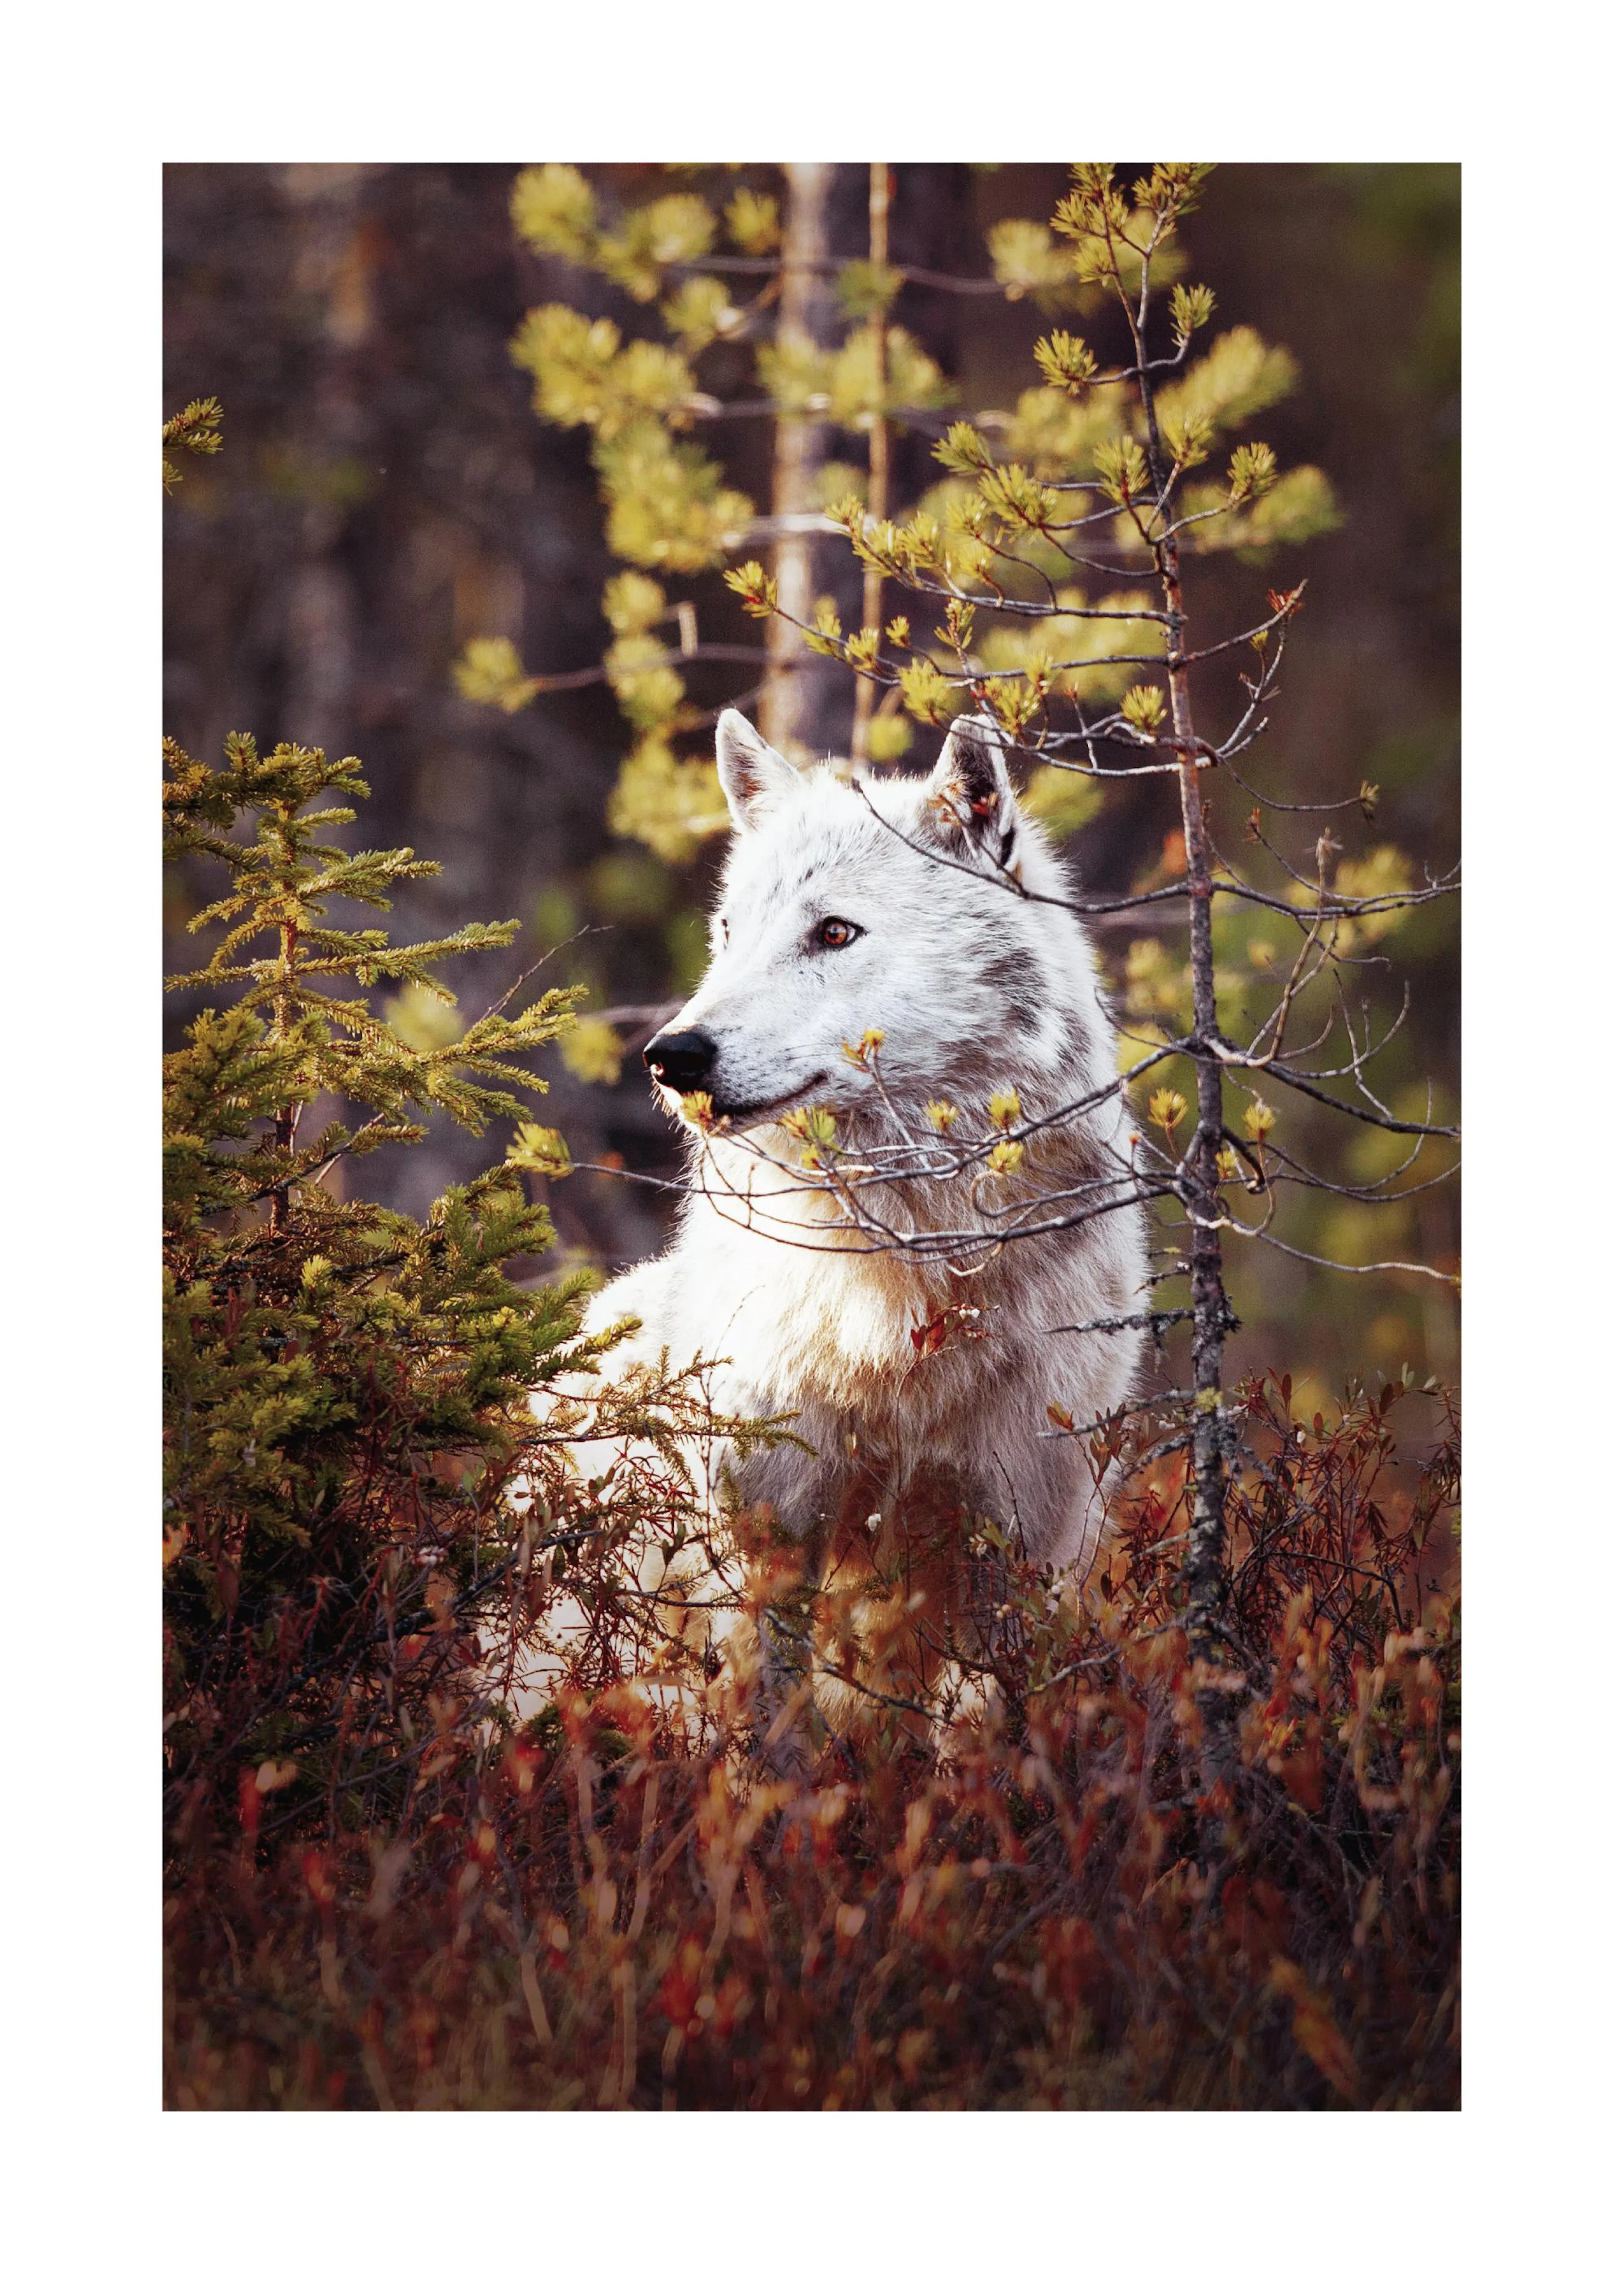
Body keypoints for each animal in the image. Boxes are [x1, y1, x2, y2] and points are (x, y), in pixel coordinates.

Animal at [548, 707, 1148, 1713]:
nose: (673, 1056)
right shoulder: (768, 1537)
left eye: (834, 932)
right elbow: (770, 1734)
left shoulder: (1019, 1546)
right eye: (728, 932)